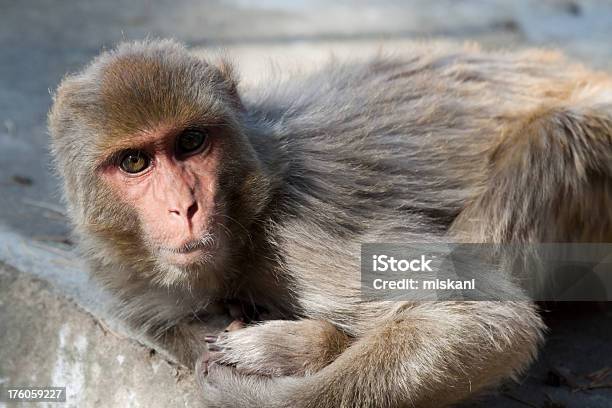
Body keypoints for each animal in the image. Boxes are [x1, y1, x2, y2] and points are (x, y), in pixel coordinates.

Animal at [49, 40, 612, 408]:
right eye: (135, 162)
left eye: (191, 142)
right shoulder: (134, 291)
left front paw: (264, 391)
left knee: (554, 136)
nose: (183, 207)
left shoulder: (301, 228)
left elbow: (484, 317)